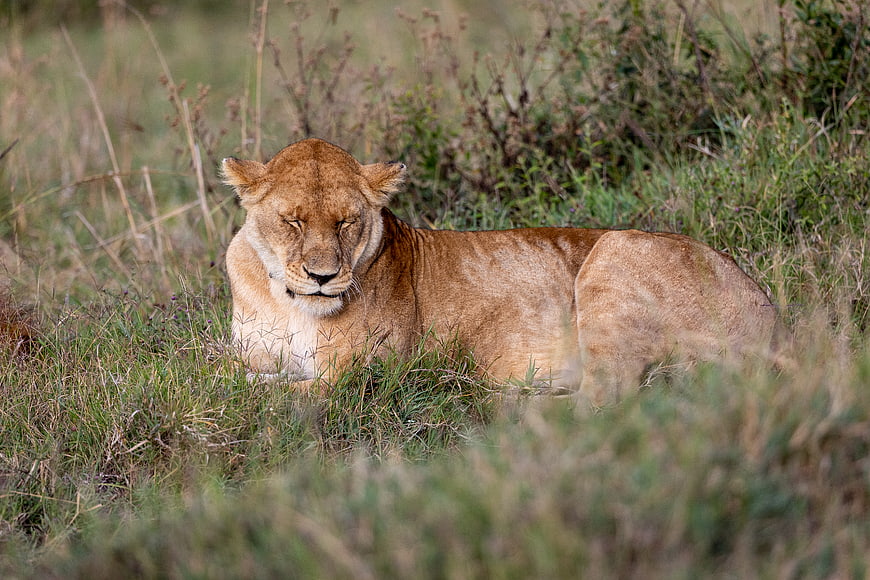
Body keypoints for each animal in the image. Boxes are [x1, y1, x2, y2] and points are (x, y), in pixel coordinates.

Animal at [222, 138, 777, 405]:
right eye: (293, 221)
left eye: (346, 223)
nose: (322, 277)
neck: (293, 306)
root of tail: (775, 323)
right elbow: (230, 371)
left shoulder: (360, 374)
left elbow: (275, 392)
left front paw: (258, 388)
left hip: (615, 253)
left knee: (607, 398)